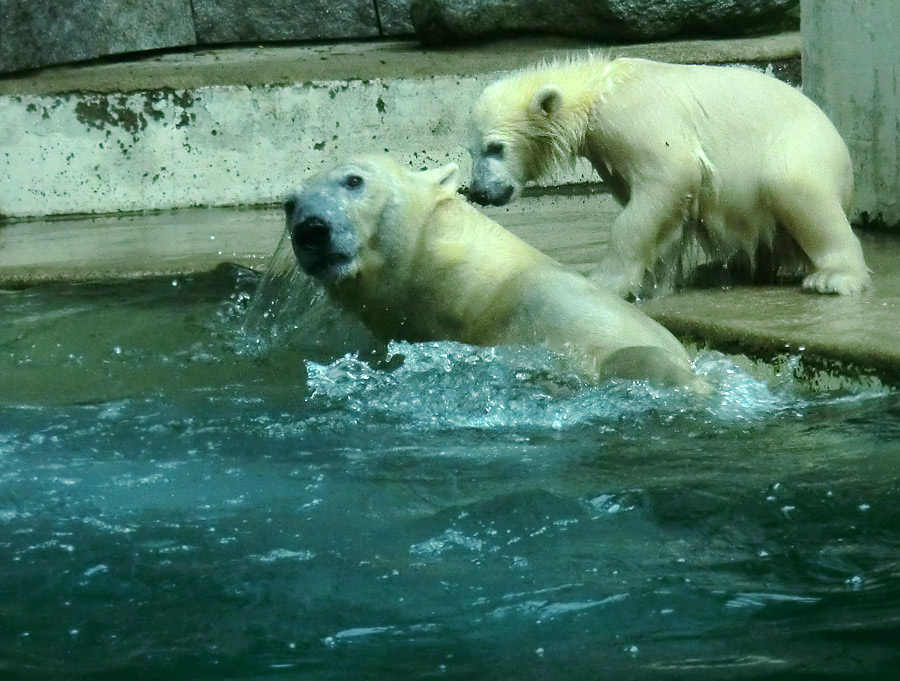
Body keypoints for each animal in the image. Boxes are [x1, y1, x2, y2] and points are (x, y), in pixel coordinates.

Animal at [472, 55, 872, 294]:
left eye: (496, 148)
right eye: (471, 150)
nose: (479, 192)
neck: (599, 91)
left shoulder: (634, 118)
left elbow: (669, 177)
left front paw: (605, 281)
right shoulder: (608, 151)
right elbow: (667, 214)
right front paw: (658, 279)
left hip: (802, 148)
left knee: (795, 188)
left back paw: (833, 277)